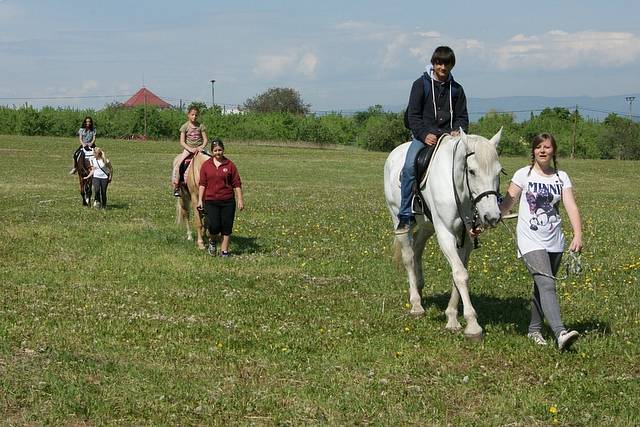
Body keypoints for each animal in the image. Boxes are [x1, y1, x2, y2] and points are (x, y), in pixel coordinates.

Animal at [382, 129, 502, 340]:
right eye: (472, 171)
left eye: (498, 172)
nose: (492, 217)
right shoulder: (445, 234)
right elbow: (460, 274)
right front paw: (473, 325)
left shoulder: (466, 238)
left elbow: (458, 273)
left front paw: (452, 318)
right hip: (399, 220)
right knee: (408, 257)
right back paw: (416, 304)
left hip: (427, 226)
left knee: (417, 250)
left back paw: (419, 289)